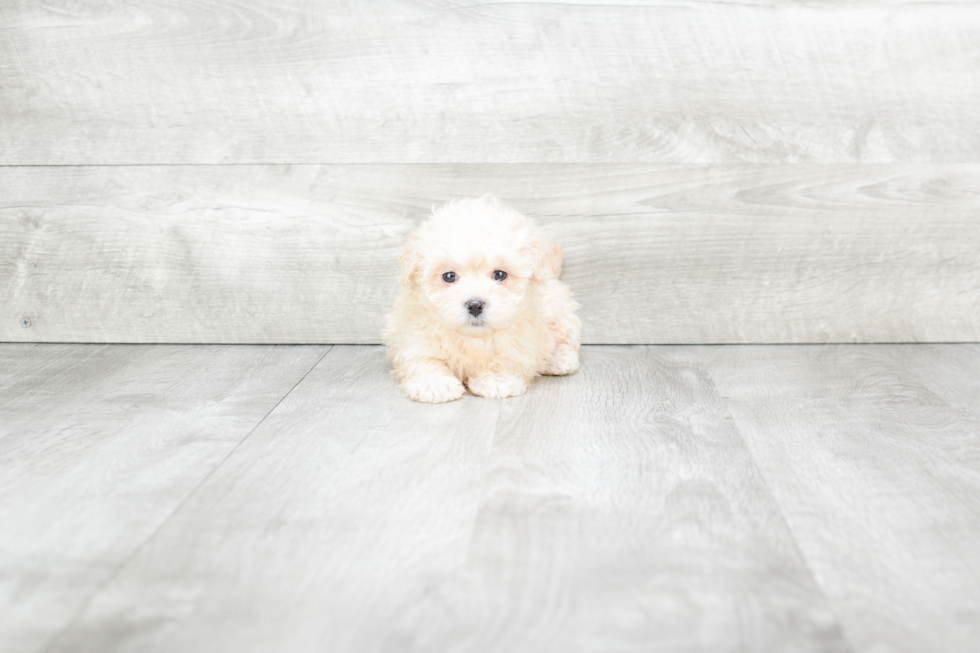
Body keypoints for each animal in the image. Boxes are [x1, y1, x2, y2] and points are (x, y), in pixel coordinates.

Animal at [382, 195, 580, 402]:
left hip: (557, 313)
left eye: (500, 274)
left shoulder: (522, 339)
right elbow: (423, 359)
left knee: (566, 339)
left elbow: (509, 358)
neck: (473, 337)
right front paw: (434, 383)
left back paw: (559, 359)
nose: (475, 305)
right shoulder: (413, 334)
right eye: (449, 276)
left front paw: (496, 380)